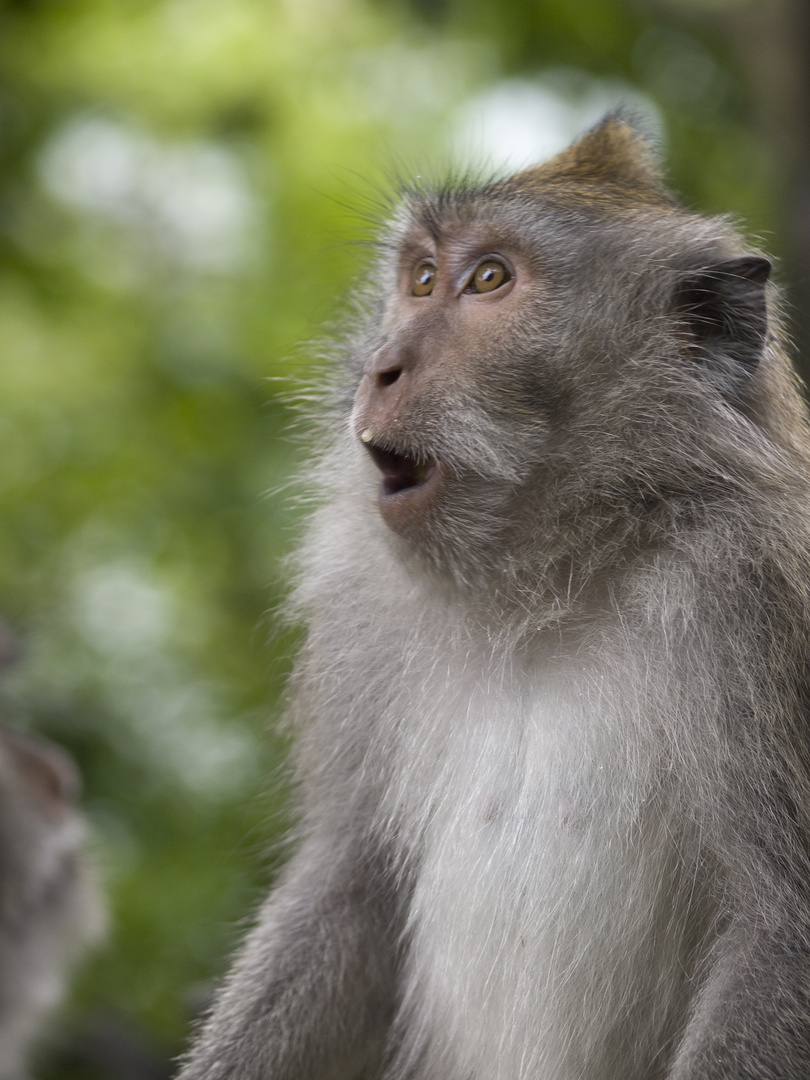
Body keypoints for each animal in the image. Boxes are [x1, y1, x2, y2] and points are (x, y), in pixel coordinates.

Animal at [179, 113, 810, 1075]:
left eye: (490, 281)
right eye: (421, 278)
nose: (381, 367)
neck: (542, 587)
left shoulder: (752, 590)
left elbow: (780, 936)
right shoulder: (362, 605)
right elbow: (350, 889)